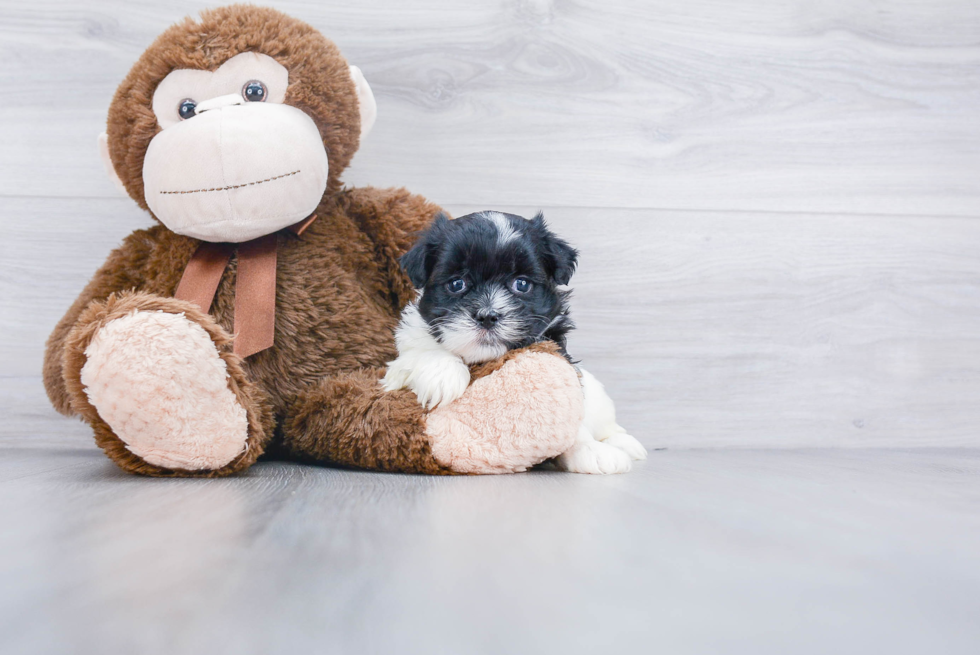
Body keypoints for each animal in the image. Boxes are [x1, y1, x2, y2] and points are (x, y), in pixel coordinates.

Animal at [384, 213, 652, 474]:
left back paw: (625, 443)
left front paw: (588, 449)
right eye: (456, 284)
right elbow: (422, 352)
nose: (488, 315)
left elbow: (571, 416)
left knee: (609, 425)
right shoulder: (400, 359)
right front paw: (442, 377)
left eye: (521, 284)